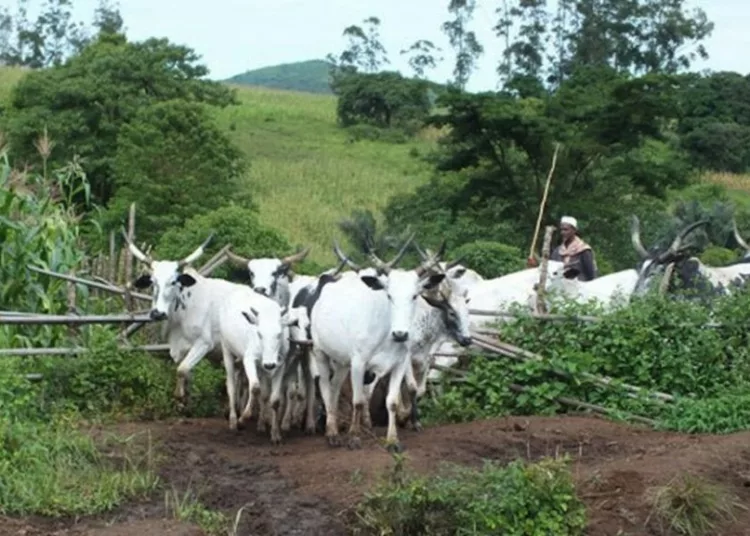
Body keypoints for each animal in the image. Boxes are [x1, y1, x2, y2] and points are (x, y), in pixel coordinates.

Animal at [308, 237, 444, 450]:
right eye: (389, 295)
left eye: (415, 295)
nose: (400, 334)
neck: (387, 333)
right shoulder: (359, 363)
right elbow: (358, 401)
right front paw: (354, 437)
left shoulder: (399, 364)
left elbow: (392, 402)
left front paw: (393, 439)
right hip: (320, 351)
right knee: (325, 386)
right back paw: (332, 432)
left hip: (342, 361)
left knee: (335, 387)